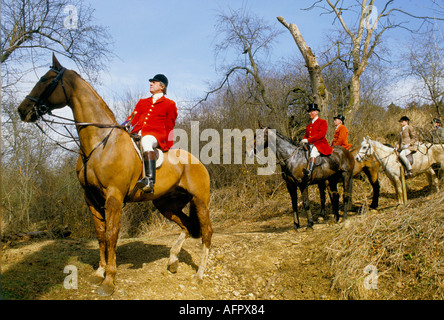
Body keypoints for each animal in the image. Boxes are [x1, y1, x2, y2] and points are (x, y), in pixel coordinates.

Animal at [16, 53, 212, 296]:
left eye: (45, 79)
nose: (22, 110)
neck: (100, 143)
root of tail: (198, 161)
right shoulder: (91, 198)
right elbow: (101, 233)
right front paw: (99, 272)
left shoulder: (114, 197)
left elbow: (112, 234)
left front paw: (109, 280)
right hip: (166, 204)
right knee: (186, 226)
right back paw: (173, 260)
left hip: (200, 201)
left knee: (206, 232)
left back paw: (199, 275)